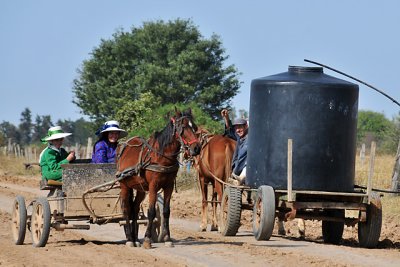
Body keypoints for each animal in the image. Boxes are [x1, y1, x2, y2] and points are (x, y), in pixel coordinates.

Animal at [116, 108, 202, 249]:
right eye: (183, 127)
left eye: (194, 127)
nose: (197, 148)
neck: (161, 156)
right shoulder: (153, 186)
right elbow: (151, 212)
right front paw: (147, 239)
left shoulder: (169, 186)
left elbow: (166, 211)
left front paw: (167, 238)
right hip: (124, 186)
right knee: (126, 209)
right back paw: (129, 239)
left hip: (140, 189)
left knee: (134, 208)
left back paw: (135, 238)